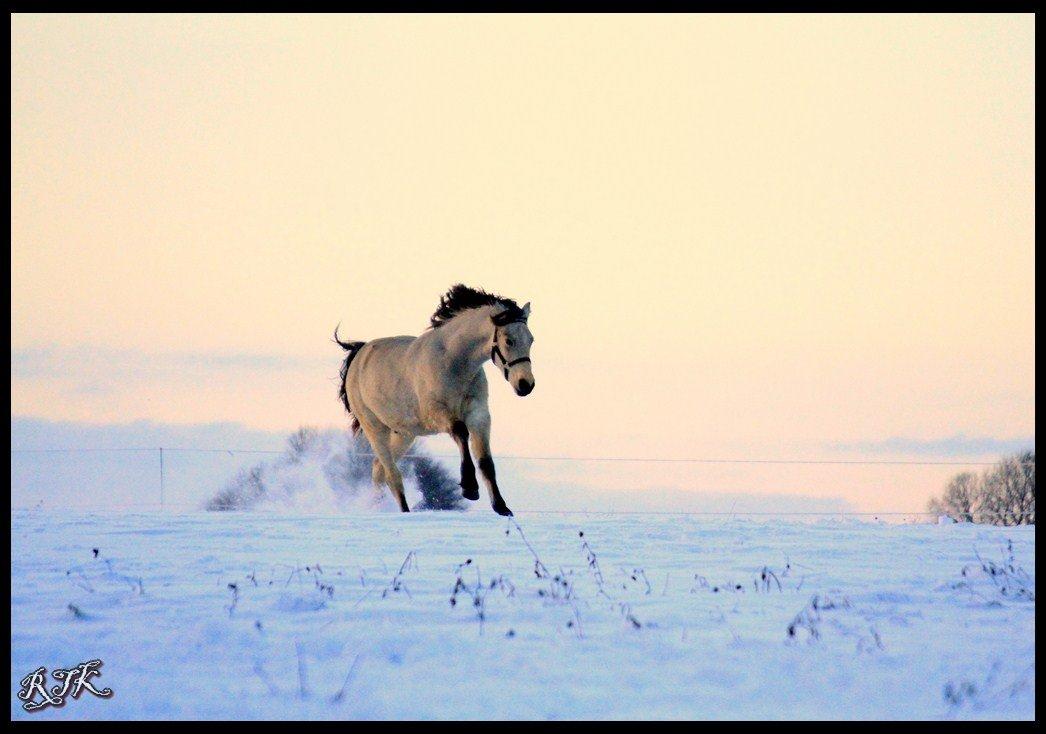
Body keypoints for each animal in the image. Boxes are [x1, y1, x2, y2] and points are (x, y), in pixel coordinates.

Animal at [334, 284, 535, 514]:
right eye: (509, 340)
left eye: (531, 339)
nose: (526, 384)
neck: (453, 361)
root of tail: (359, 354)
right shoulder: (437, 414)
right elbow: (461, 432)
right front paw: (469, 488)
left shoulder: (479, 415)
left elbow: (486, 461)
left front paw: (501, 507)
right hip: (375, 429)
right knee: (392, 475)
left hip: (404, 434)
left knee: (378, 470)